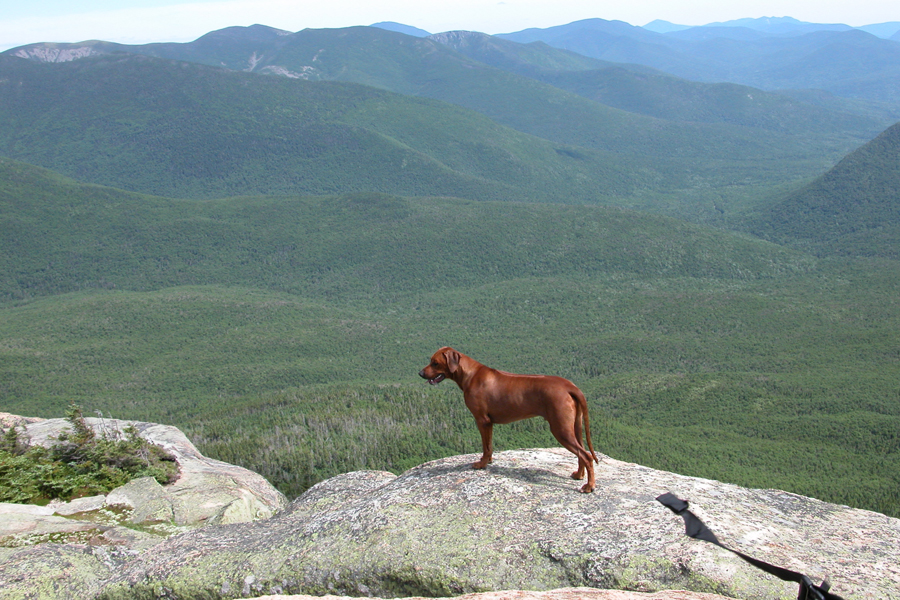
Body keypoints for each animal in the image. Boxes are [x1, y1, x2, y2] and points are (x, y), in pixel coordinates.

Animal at [420, 346, 596, 492]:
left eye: (435, 363)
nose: (420, 373)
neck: (469, 374)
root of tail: (570, 386)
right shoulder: (489, 423)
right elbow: (489, 445)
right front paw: (488, 461)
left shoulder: (482, 420)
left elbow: (485, 446)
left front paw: (481, 464)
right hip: (574, 426)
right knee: (582, 452)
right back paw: (578, 475)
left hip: (560, 429)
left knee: (586, 456)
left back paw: (589, 486)